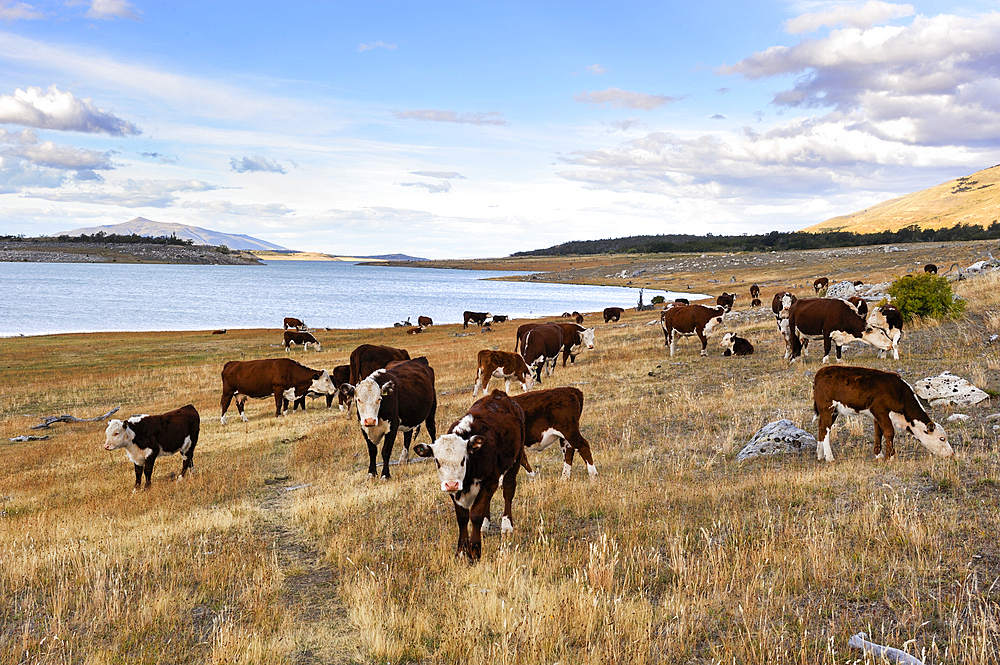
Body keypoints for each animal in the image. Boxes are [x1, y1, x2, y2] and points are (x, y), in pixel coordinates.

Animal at [412, 386, 528, 564]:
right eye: (437, 461)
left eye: (462, 459)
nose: (451, 484)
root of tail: (498, 394)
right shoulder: (456, 492)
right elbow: (462, 517)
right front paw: (461, 551)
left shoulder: (490, 481)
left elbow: (475, 514)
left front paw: (474, 551)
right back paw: (485, 526)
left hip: (516, 458)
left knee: (508, 490)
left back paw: (507, 526)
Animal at [812, 364, 952, 462]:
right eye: (942, 438)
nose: (951, 453)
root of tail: (820, 372)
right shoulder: (880, 410)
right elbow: (889, 432)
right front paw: (890, 457)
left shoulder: (876, 416)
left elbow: (878, 433)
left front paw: (879, 455)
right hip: (827, 408)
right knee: (825, 429)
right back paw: (829, 457)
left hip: (833, 411)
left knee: (821, 427)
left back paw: (819, 455)